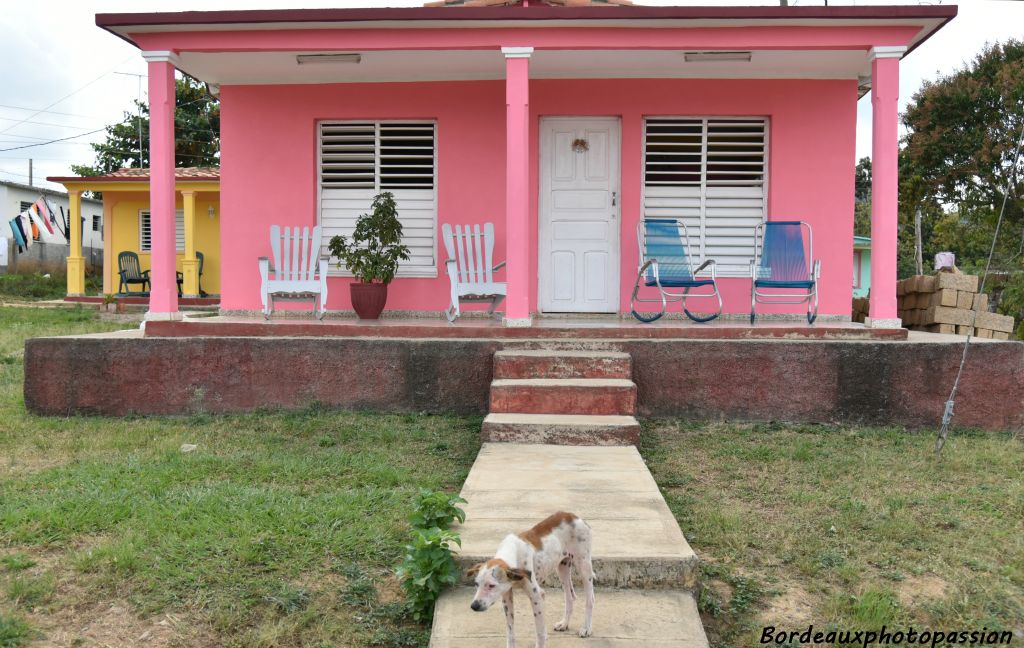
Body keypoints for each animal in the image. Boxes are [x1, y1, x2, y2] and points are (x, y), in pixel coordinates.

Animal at [464, 509, 593, 646]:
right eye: (476, 584)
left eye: (491, 585)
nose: (474, 606)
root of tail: (573, 516)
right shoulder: (506, 596)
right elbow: (510, 632)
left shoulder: (537, 596)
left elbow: (540, 632)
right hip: (562, 568)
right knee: (569, 597)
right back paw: (564, 624)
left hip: (584, 567)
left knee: (590, 599)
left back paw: (586, 628)